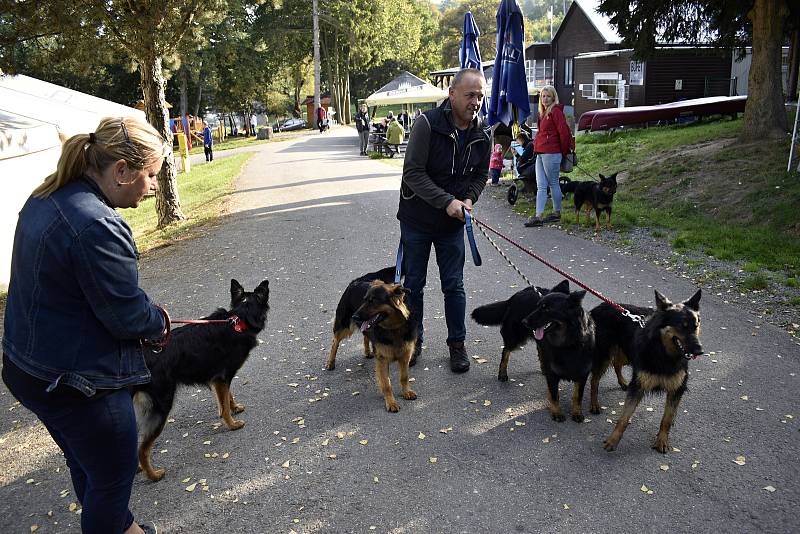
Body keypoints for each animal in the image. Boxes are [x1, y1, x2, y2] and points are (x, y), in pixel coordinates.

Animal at [131, 278, 268, 484]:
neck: (237, 320)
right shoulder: (223, 377)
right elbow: (225, 405)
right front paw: (232, 424)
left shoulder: (220, 379)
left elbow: (226, 397)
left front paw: (234, 408)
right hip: (162, 407)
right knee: (142, 449)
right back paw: (153, 475)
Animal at [354, 280, 422, 414]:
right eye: (365, 300)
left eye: (373, 301)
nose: (354, 317)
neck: (394, 327)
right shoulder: (382, 360)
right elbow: (386, 384)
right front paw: (391, 402)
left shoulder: (405, 356)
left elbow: (404, 377)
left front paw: (406, 392)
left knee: (365, 336)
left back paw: (367, 351)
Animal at [520, 286, 596, 426]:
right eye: (538, 306)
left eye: (547, 309)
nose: (524, 322)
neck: (569, 344)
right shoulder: (552, 374)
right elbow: (555, 395)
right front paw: (556, 412)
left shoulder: (583, 374)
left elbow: (578, 396)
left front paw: (577, 412)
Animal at [604, 292, 704, 454]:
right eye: (682, 326)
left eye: (696, 326)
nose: (699, 351)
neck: (663, 353)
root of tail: (604, 304)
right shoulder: (638, 386)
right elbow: (624, 418)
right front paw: (613, 440)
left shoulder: (677, 389)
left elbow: (666, 419)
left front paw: (662, 440)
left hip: (627, 355)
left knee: (617, 363)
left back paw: (622, 382)